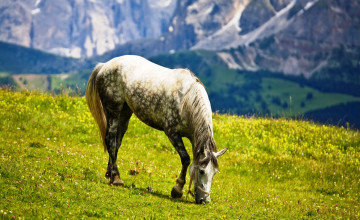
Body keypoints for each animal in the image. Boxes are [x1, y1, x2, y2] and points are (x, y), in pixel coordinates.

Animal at [85, 54, 226, 203]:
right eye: (201, 171)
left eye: (214, 173)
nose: (205, 200)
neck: (186, 100)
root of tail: (104, 65)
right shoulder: (172, 132)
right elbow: (186, 159)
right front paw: (177, 189)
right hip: (113, 110)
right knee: (110, 140)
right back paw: (117, 179)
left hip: (125, 112)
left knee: (116, 142)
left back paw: (110, 175)